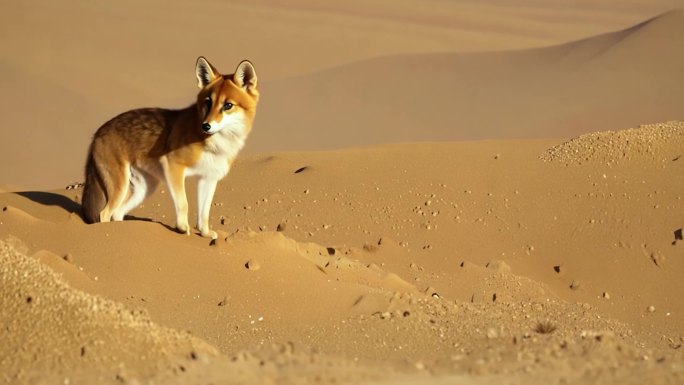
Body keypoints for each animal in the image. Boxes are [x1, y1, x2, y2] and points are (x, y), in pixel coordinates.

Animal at [82, 56, 260, 237]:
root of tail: (98, 132)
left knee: (117, 214)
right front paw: (182, 228)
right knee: (104, 214)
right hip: (121, 187)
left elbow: (204, 213)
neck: (216, 145)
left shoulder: (208, 178)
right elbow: (184, 204)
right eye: (208, 103)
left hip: (144, 189)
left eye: (228, 105)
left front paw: (205, 233)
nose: (206, 126)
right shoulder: (174, 166)